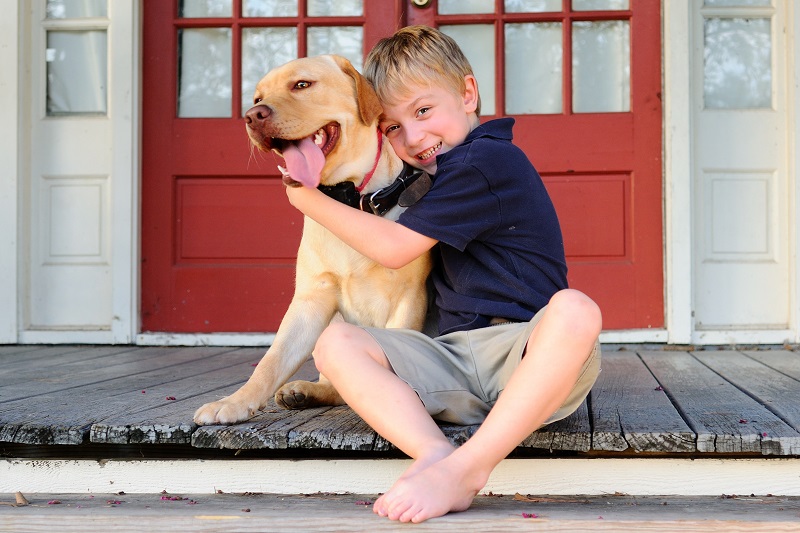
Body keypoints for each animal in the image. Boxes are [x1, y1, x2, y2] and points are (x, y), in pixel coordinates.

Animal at [194, 55, 432, 424]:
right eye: (257, 97)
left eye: (302, 84)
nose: (253, 115)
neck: (350, 199)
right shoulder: (310, 299)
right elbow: (271, 361)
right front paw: (234, 402)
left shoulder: (409, 297)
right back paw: (303, 391)